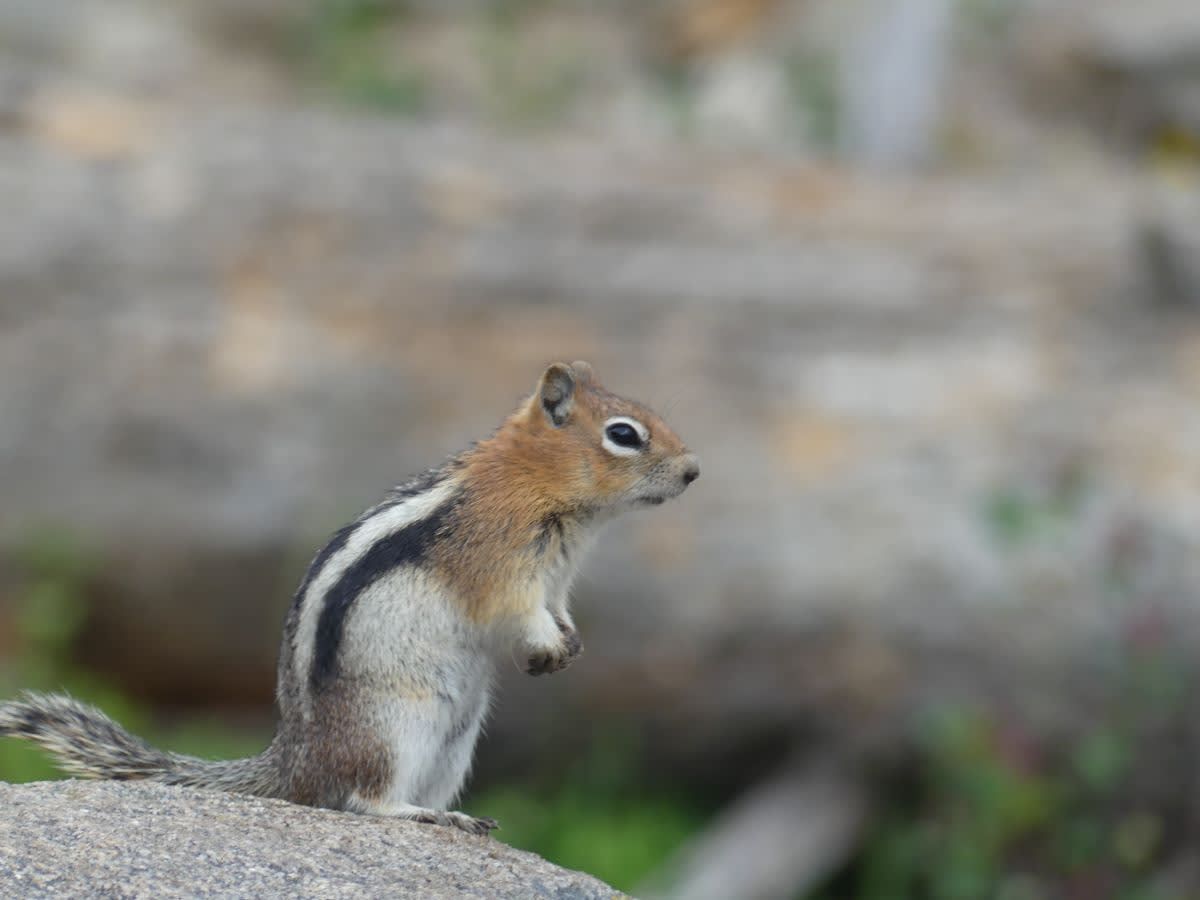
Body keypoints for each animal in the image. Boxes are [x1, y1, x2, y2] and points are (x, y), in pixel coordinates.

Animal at [0, 361, 699, 835]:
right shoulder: (503, 569)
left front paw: (569, 643)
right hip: (393, 728)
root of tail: (295, 764)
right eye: (624, 434)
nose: (694, 471)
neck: (536, 482)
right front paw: (549, 647)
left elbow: (557, 614)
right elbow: (519, 615)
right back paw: (421, 816)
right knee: (360, 799)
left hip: (455, 743)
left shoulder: (556, 579)